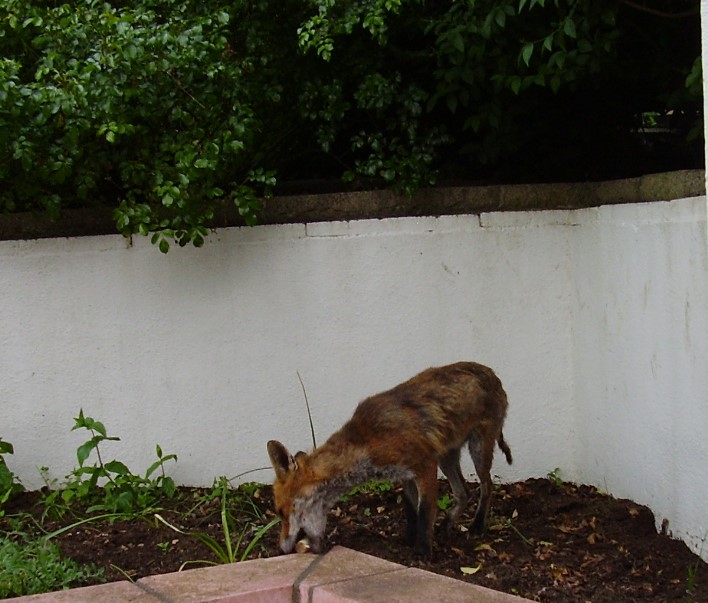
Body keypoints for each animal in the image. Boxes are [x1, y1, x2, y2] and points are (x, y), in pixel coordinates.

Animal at [268, 360, 512, 560]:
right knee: (464, 492)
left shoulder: (425, 466)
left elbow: (425, 512)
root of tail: (492, 373)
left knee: (487, 486)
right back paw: (447, 525)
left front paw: (423, 553)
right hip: (447, 457)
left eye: (281, 512)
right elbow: (411, 511)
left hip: (477, 449)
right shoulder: (405, 475)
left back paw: (477, 526)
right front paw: (409, 541)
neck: (367, 444)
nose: (281, 549)